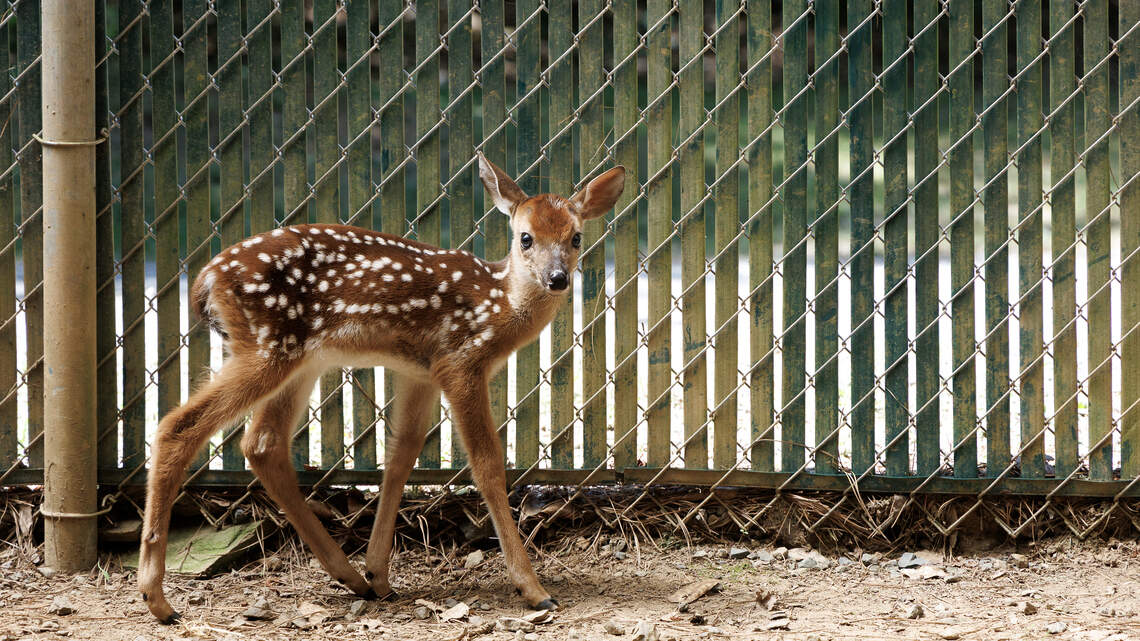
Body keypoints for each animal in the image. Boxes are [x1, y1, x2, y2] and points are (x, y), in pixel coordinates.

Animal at [136, 153, 625, 623]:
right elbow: (487, 465)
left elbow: (401, 455)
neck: (497, 305)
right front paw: (534, 590)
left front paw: (380, 573)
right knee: (178, 427)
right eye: (525, 237)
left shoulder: (422, 372)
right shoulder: (461, 361)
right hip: (266, 346)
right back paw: (157, 598)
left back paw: (351, 576)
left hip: (300, 359)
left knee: (262, 442)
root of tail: (205, 281)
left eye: (576, 237)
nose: (557, 278)